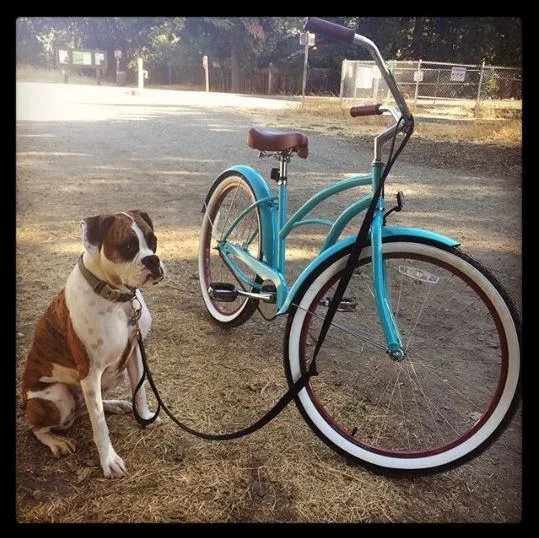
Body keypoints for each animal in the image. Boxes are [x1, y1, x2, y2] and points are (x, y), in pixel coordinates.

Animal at [21, 209, 166, 478]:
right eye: (128, 246)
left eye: (153, 241)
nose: (153, 260)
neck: (118, 298)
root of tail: (25, 400)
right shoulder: (90, 372)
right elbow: (99, 422)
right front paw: (109, 461)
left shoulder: (134, 355)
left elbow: (140, 391)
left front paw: (144, 417)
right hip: (58, 397)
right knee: (38, 428)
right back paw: (56, 441)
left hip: (109, 377)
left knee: (90, 405)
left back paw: (115, 405)